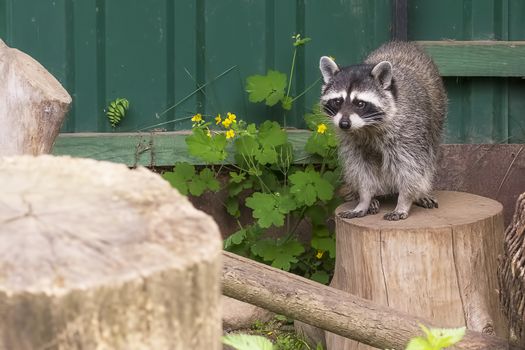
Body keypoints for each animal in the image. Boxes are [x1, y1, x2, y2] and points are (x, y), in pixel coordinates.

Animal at [318, 41, 444, 220]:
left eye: (360, 103)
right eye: (337, 101)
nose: (344, 124)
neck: (367, 126)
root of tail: (402, 43)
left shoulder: (409, 131)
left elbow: (411, 168)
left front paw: (404, 201)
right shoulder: (352, 141)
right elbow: (360, 169)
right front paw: (364, 198)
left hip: (436, 120)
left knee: (427, 162)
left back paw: (420, 193)